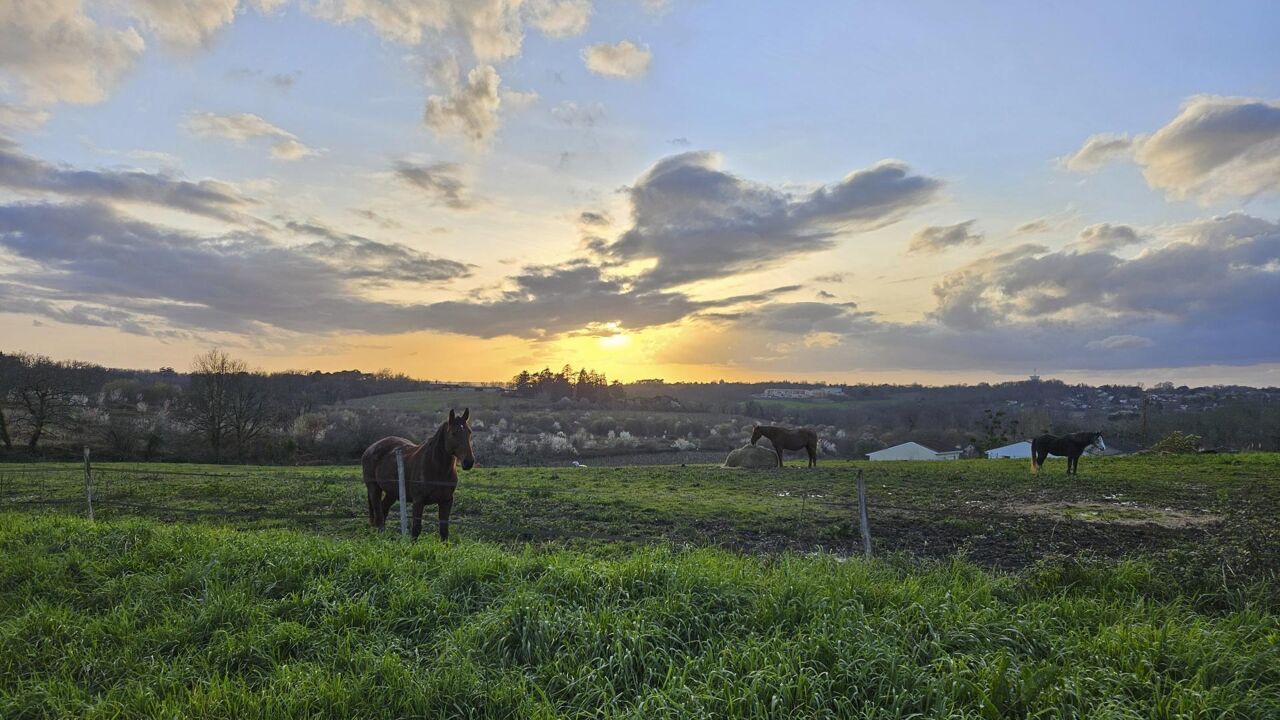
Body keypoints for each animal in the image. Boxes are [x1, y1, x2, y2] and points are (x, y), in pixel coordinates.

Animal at [360, 409, 476, 538]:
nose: (468, 462)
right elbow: (416, 529)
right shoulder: (418, 501)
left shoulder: (446, 501)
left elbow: (444, 531)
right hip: (374, 488)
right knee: (379, 516)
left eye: (469, 432)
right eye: (453, 433)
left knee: (383, 510)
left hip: (392, 492)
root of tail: (371, 448)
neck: (436, 469)